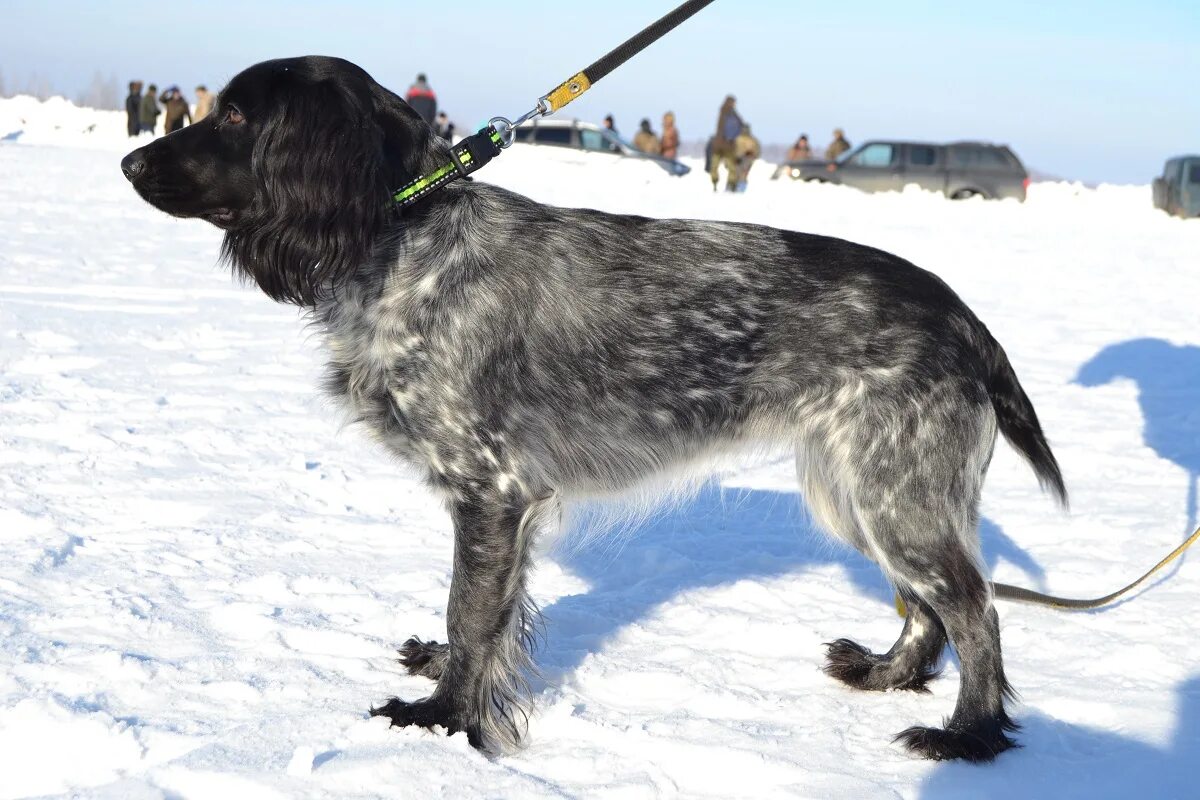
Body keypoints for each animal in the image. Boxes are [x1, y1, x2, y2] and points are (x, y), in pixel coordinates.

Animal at [121, 57, 1065, 762]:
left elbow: (473, 613)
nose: (129, 162)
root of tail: (962, 317)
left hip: (891, 491)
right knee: (931, 608)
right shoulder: (504, 506)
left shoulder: (492, 490)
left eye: (235, 116)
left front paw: (444, 722)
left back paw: (970, 735)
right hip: (856, 489)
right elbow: (489, 613)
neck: (407, 240)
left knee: (975, 608)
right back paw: (887, 675)